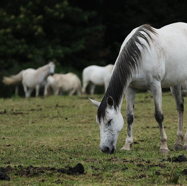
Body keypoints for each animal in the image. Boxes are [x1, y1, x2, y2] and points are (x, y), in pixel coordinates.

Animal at [89, 22, 187, 154]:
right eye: (98, 123)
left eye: (109, 121)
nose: (105, 149)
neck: (141, 55)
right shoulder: (130, 88)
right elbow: (130, 116)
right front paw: (127, 145)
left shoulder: (155, 86)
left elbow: (158, 115)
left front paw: (163, 146)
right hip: (175, 82)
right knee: (180, 107)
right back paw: (178, 143)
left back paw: (185, 143)